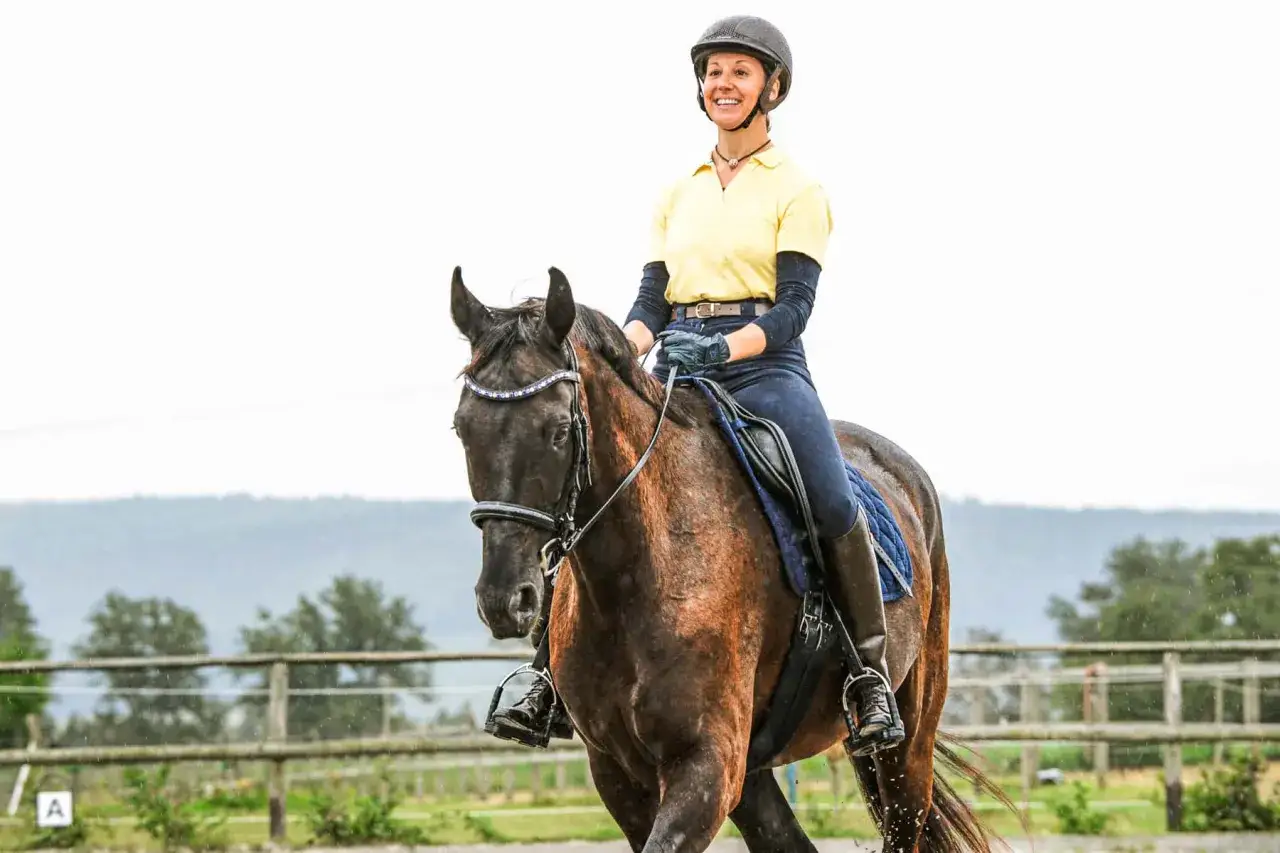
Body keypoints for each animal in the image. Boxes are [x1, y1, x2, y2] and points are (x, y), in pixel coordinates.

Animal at [449, 266, 1016, 852]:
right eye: (461, 428)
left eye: (559, 430)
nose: (504, 600)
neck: (639, 573)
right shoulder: (618, 770)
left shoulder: (707, 763)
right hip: (756, 770)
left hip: (908, 743)